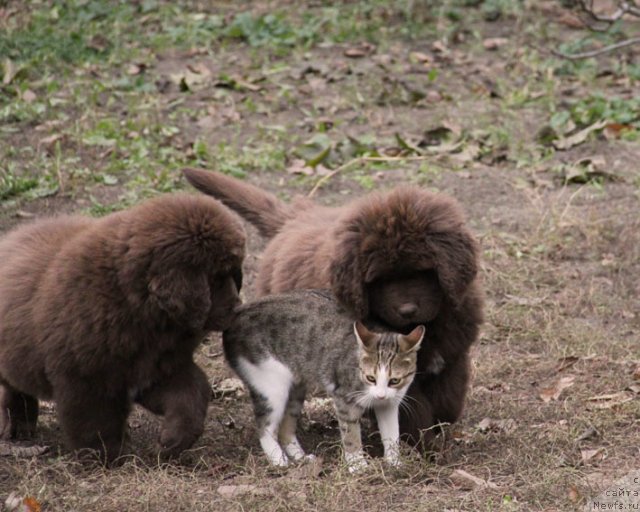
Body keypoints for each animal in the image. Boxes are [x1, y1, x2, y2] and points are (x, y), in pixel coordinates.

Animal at [0, 193, 245, 464]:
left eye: (233, 273)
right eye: (216, 278)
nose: (237, 308)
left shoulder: (158, 367)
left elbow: (191, 395)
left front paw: (169, 444)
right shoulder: (84, 376)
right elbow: (94, 419)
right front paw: (107, 457)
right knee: (13, 387)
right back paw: (17, 425)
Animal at [182, 168, 482, 448]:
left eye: (422, 271)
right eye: (381, 280)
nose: (407, 310)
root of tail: (295, 218)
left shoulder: (452, 350)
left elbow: (449, 397)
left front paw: (440, 427)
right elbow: (409, 410)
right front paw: (424, 443)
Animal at [221, 290, 424, 470]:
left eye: (394, 381)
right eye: (370, 378)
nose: (380, 395)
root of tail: (237, 314)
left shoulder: (390, 403)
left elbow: (391, 433)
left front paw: (394, 462)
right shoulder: (344, 399)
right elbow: (351, 434)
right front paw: (357, 465)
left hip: (295, 387)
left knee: (286, 426)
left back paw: (300, 457)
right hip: (271, 383)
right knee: (265, 427)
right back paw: (278, 461)